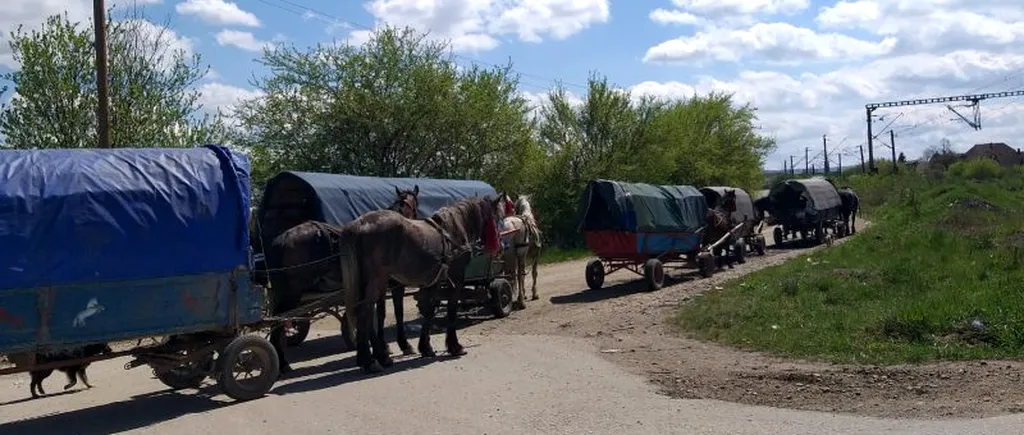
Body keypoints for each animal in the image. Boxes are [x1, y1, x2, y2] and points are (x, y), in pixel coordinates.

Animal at [339, 194, 503, 370]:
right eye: (497, 217)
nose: (499, 246)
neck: (453, 229)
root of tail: (359, 223)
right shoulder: (456, 278)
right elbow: (451, 309)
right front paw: (454, 346)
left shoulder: (434, 281)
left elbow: (429, 310)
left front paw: (425, 347)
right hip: (376, 281)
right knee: (365, 313)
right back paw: (374, 360)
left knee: (364, 313)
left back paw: (368, 358)